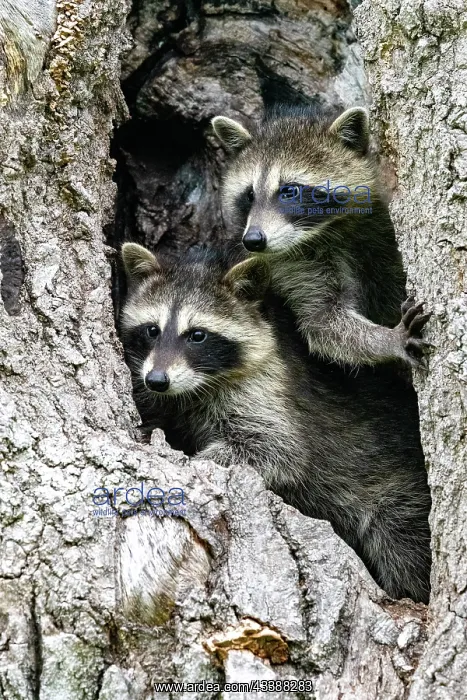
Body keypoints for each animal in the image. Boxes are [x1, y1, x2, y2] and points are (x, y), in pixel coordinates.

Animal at [121, 242, 431, 603]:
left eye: (197, 335)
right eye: (152, 330)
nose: (157, 380)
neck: (194, 388)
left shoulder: (268, 388)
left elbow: (276, 451)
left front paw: (193, 459)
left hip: (403, 495)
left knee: (403, 541)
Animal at [211, 105, 432, 368]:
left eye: (289, 191)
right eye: (250, 195)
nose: (253, 240)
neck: (328, 231)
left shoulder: (377, 237)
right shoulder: (290, 266)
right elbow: (324, 323)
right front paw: (388, 338)